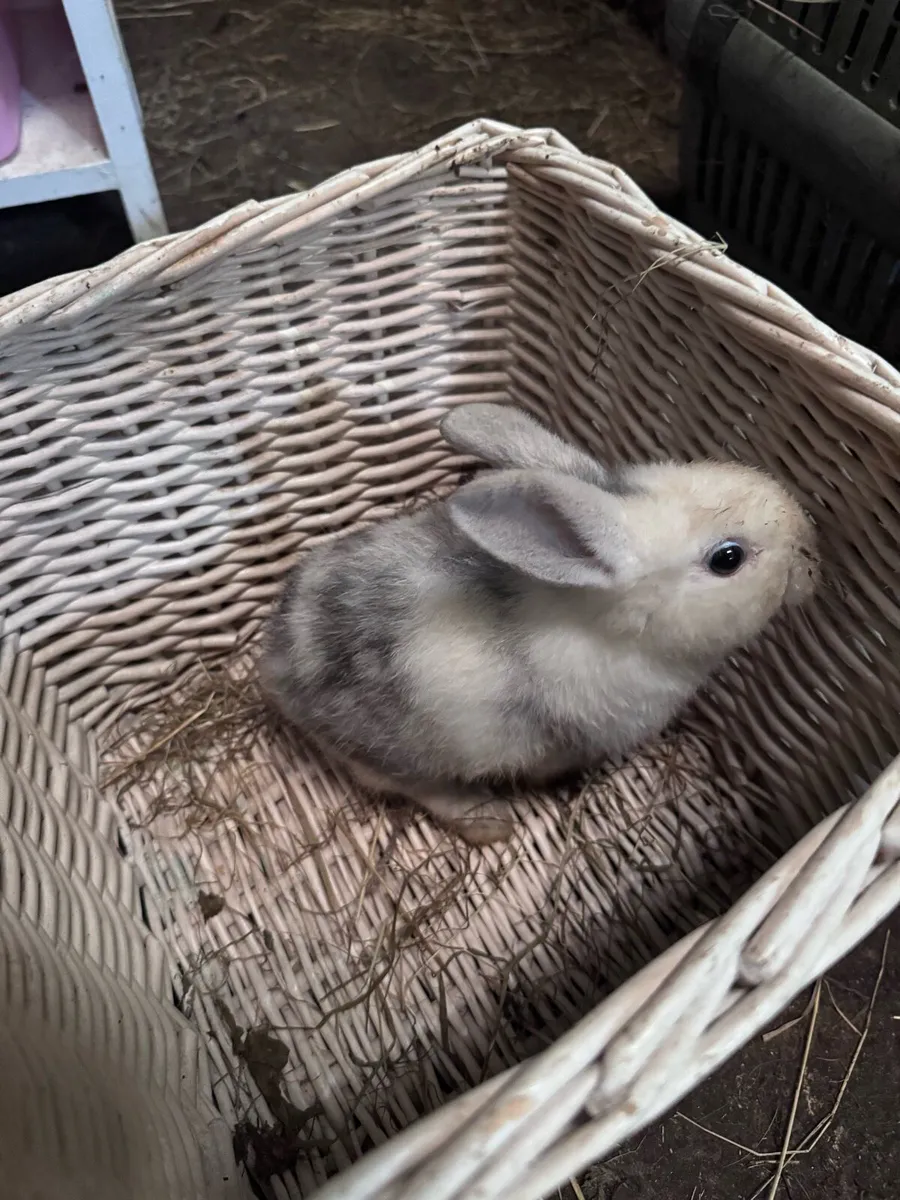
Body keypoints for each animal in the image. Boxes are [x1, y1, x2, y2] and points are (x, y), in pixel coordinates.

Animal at [259, 402, 818, 844]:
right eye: (728, 558)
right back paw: (489, 822)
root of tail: (277, 663)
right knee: (416, 785)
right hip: (399, 752)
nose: (809, 546)